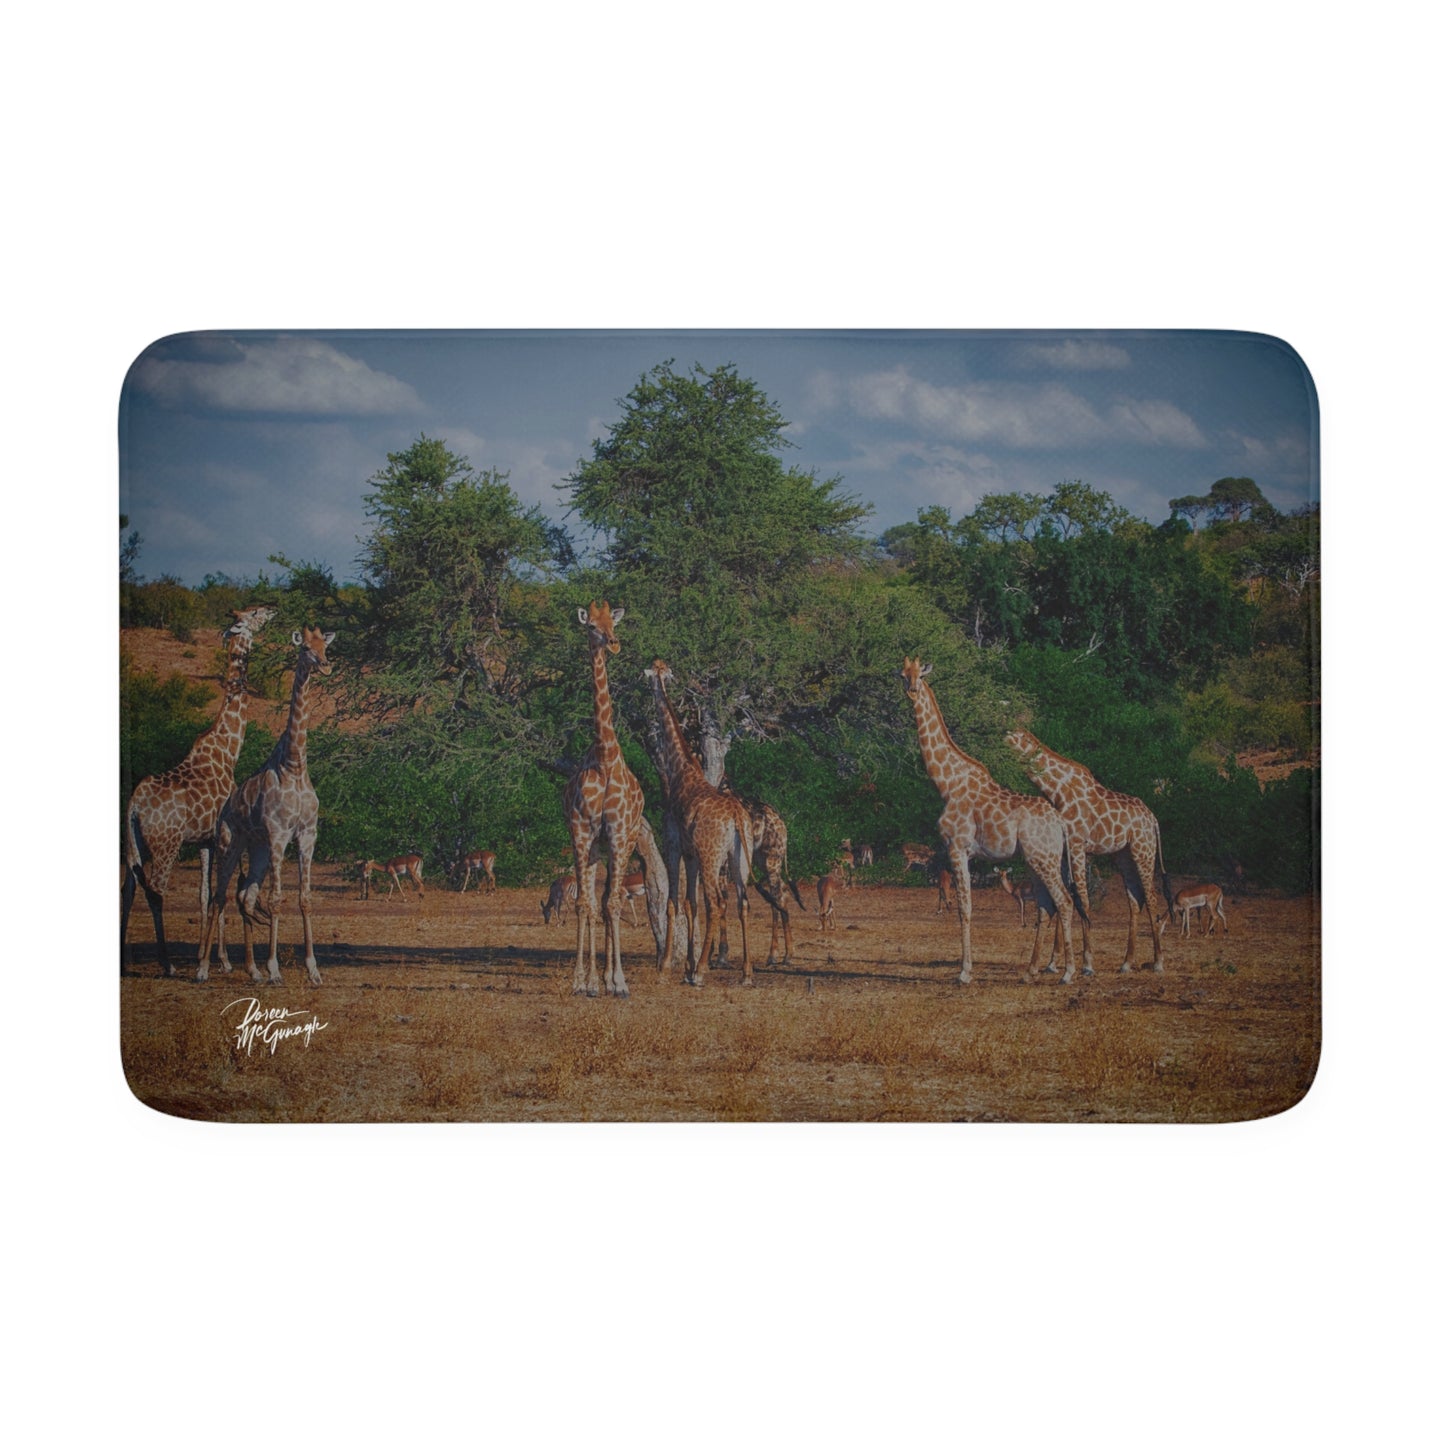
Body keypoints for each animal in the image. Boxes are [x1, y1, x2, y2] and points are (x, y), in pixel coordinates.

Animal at [122, 605, 276, 976]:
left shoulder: (205, 839)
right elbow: (228, 889)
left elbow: (206, 895)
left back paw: (122, 958)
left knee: (127, 888)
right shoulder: (228, 835)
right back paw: (166, 964)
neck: (227, 750)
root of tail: (133, 805)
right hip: (166, 844)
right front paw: (229, 962)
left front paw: (211, 958)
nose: (272, 609)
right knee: (155, 891)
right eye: (253, 614)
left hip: (134, 844)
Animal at [196, 626, 335, 985]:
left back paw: (252, 971)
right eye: (306, 648)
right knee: (218, 897)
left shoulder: (307, 835)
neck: (294, 766)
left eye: (326, 646)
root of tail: (225, 808)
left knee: (245, 897)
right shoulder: (279, 834)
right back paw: (203, 969)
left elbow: (304, 899)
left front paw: (313, 969)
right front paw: (274, 969)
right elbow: (275, 900)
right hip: (230, 844)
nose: (326, 665)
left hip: (256, 849)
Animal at [644, 659, 764, 986]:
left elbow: (673, 903)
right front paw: (685, 965)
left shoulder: (673, 845)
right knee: (742, 902)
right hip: (739, 858)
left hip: (713, 858)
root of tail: (736, 817)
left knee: (717, 902)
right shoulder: (692, 855)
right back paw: (746, 973)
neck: (678, 770)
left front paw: (667, 967)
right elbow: (690, 904)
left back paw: (701, 971)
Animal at [899, 658, 1080, 984]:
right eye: (903, 675)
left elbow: (965, 908)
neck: (947, 783)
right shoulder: (963, 852)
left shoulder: (957, 848)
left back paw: (1068, 972)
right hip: (1037, 859)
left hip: (1044, 858)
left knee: (1064, 901)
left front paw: (964, 972)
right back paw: (1030, 971)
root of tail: (1060, 823)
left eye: (921, 674)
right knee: (1046, 905)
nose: (913, 690)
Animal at [1003, 728, 1168, 973]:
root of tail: (1153, 819)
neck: (1057, 790)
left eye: (1008, 737)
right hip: (1124, 855)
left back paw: (1157, 962)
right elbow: (1065, 898)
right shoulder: (1064, 849)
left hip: (1144, 849)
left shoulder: (1077, 844)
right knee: (1135, 899)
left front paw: (1087, 964)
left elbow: (1083, 899)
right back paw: (1127, 962)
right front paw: (1053, 963)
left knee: (1152, 897)